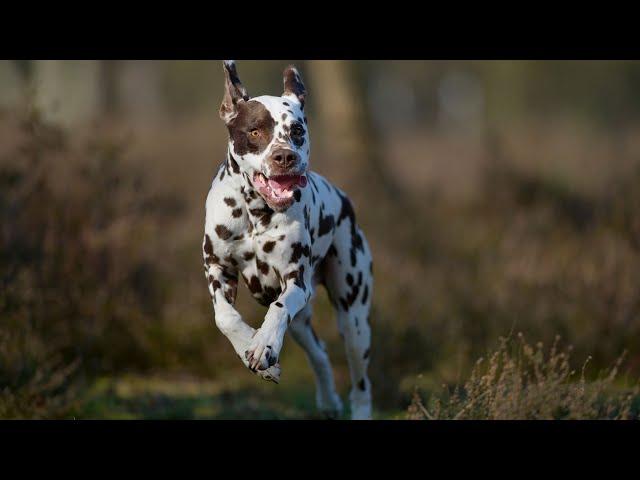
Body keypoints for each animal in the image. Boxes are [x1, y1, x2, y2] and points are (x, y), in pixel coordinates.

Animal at [205, 61, 372, 420]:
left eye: (297, 131)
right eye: (255, 131)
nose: (284, 157)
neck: (255, 211)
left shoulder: (295, 282)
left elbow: (278, 310)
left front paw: (263, 344)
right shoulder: (216, 268)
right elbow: (224, 317)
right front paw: (251, 348)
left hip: (354, 319)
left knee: (361, 383)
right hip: (303, 326)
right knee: (319, 352)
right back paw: (328, 400)